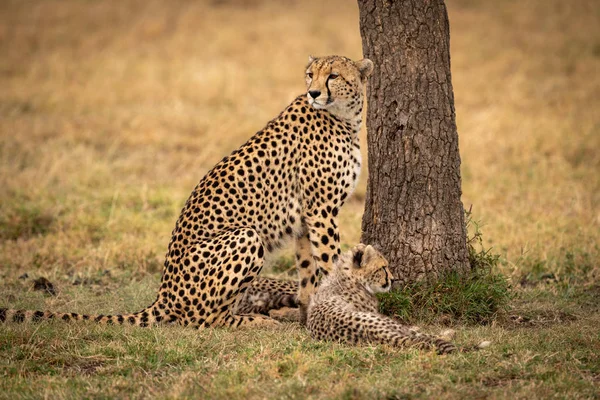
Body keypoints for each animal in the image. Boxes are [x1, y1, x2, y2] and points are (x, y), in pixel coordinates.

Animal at [0, 55, 372, 328]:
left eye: (333, 76)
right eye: (310, 75)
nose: (314, 93)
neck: (345, 118)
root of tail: (163, 293)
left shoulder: (306, 217)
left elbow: (308, 270)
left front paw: (308, 314)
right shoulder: (321, 211)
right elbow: (330, 260)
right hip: (245, 236)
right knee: (201, 319)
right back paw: (255, 321)